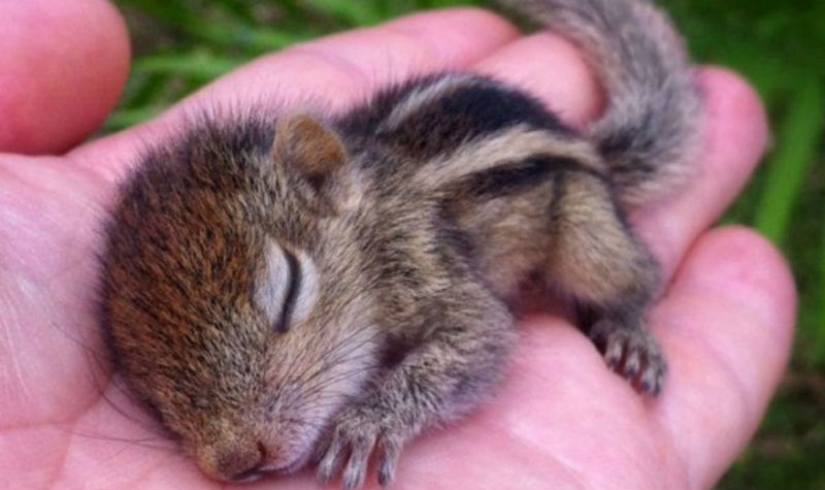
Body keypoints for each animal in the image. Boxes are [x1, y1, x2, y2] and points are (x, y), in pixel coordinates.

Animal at [100, 0, 700, 488]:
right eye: (146, 389)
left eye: (289, 291)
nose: (236, 461)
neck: (370, 223)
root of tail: (586, 143)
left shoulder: (427, 267)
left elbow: (481, 339)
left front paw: (367, 423)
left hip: (586, 232)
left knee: (635, 274)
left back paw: (628, 329)